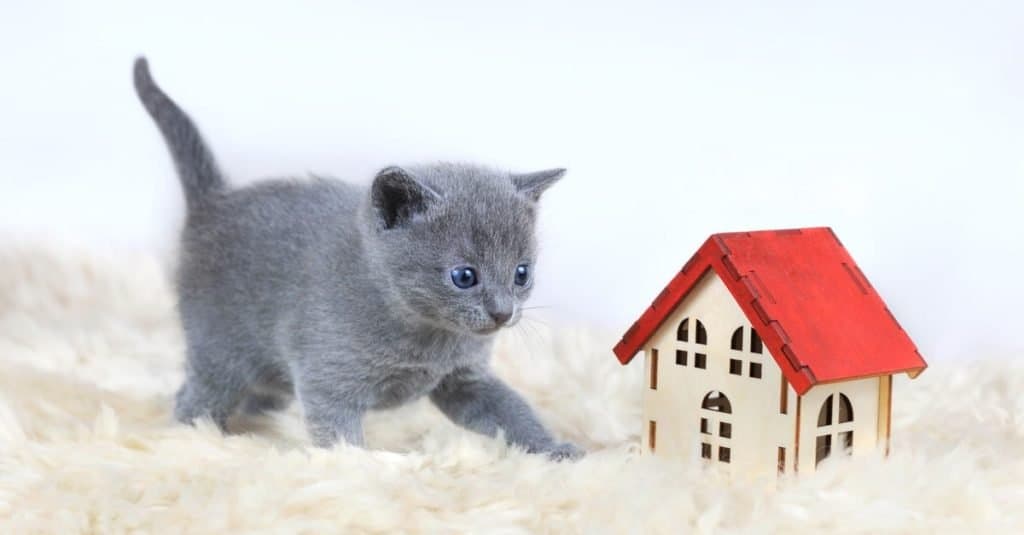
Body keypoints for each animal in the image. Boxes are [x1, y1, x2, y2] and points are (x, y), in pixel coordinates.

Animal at [134, 58, 585, 457]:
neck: (427, 337)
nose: (502, 313)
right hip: (220, 350)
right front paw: (359, 467)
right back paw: (200, 437)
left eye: (521, 273)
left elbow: (511, 412)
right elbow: (339, 436)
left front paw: (552, 449)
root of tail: (215, 202)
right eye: (464, 276)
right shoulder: (327, 381)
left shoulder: (466, 381)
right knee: (195, 397)